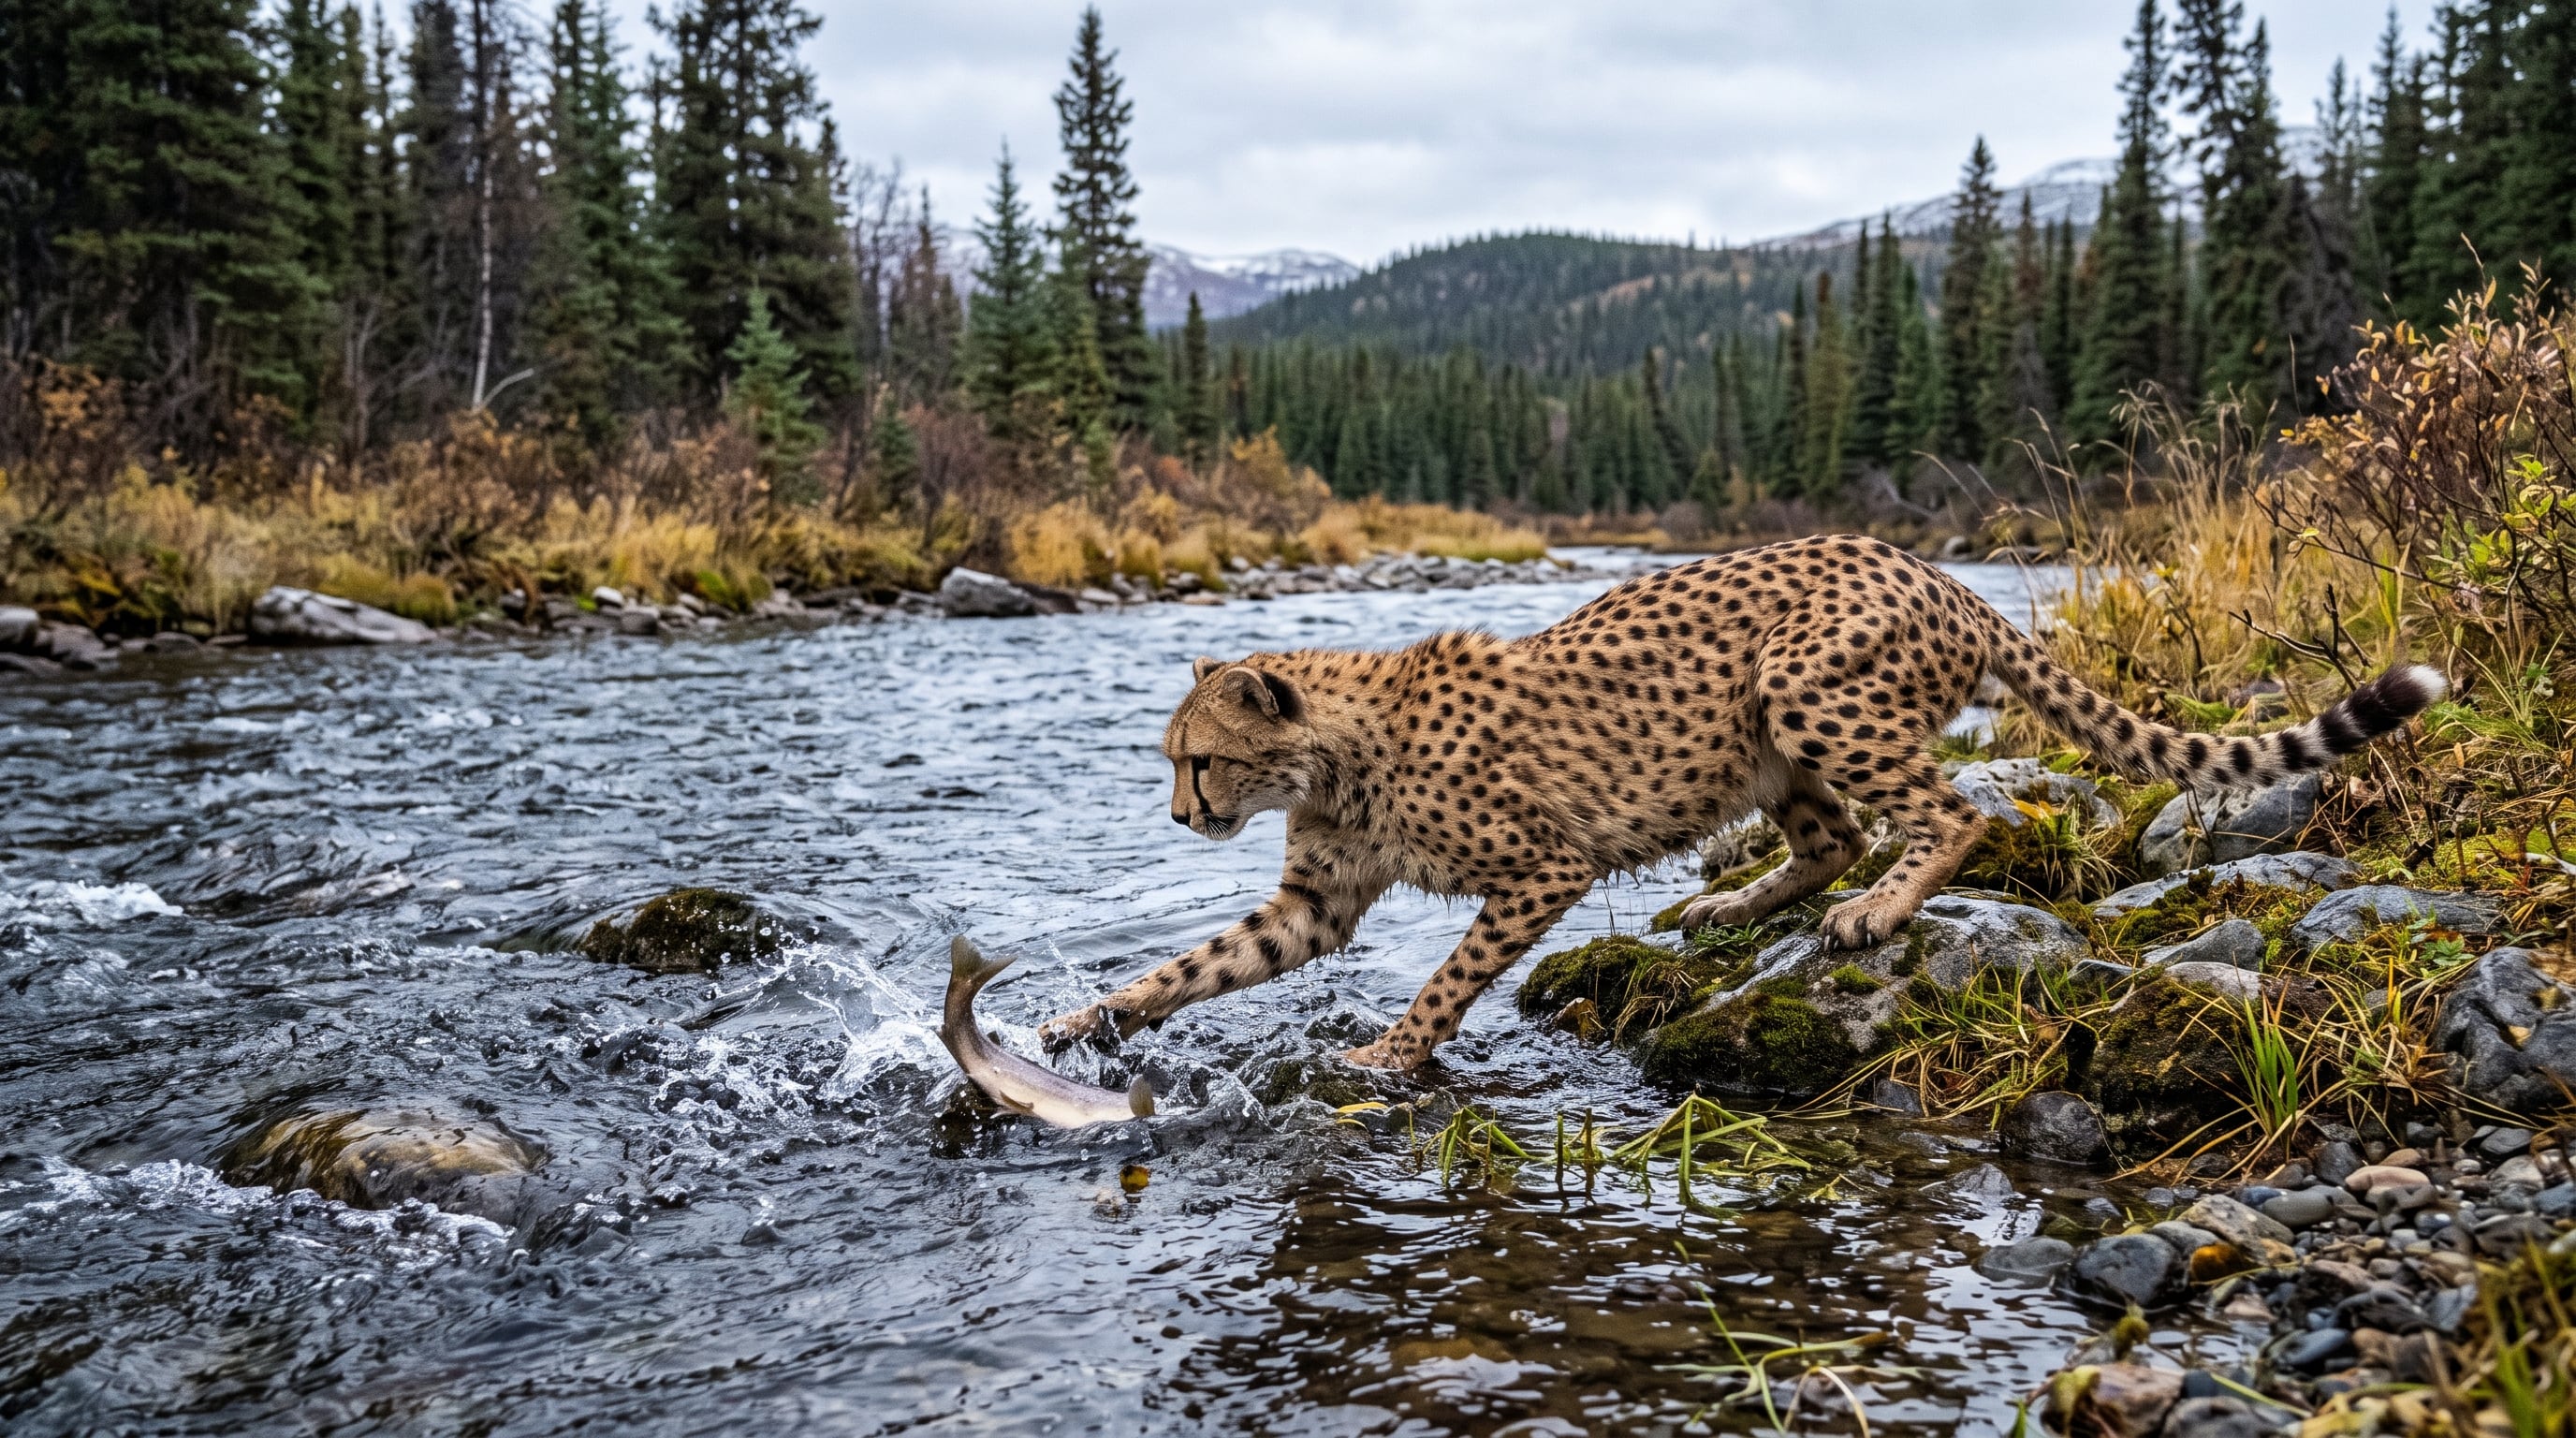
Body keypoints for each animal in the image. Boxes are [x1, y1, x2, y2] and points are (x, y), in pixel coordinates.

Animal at [1037, 534, 2445, 1073]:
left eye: (1199, 762)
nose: (1180, 820)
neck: (1337, 747)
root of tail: (1931, 568)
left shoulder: (1539, 869)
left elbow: (1449, 977)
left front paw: (1391, 1053)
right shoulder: (1318, 906)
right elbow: (1199, 965)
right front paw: (1082, 1022)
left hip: (1803, 688)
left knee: (1948, 813)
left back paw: (1877, 912)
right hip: (1766, 741)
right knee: (1834, 832)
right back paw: (1735, 905)